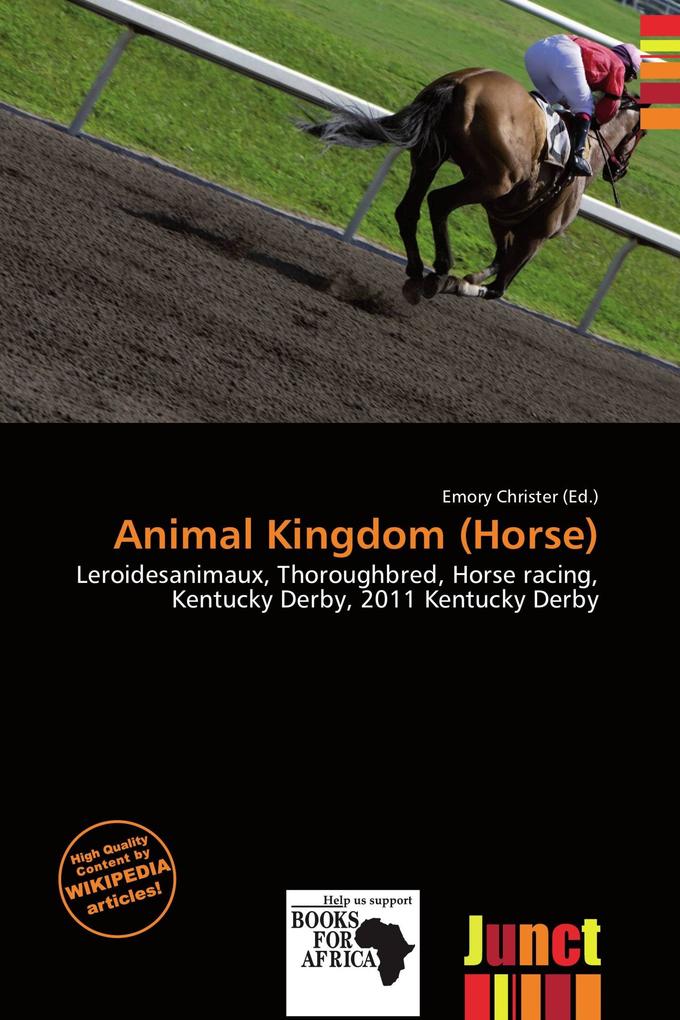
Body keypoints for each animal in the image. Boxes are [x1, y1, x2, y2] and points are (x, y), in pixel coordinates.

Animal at [299, 68, 647, 304]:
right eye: (641, 133)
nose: (621, 169)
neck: (588, 145)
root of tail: (459, 83)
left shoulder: (501, 219)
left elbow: (499, 258)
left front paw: (471, 275)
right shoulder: (535, 236)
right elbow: (497, 288)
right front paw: (461, 281)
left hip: (429, 157)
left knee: (408, 210)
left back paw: (416, 270)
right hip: (493, 180)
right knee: (438, 202)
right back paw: (440, 271)